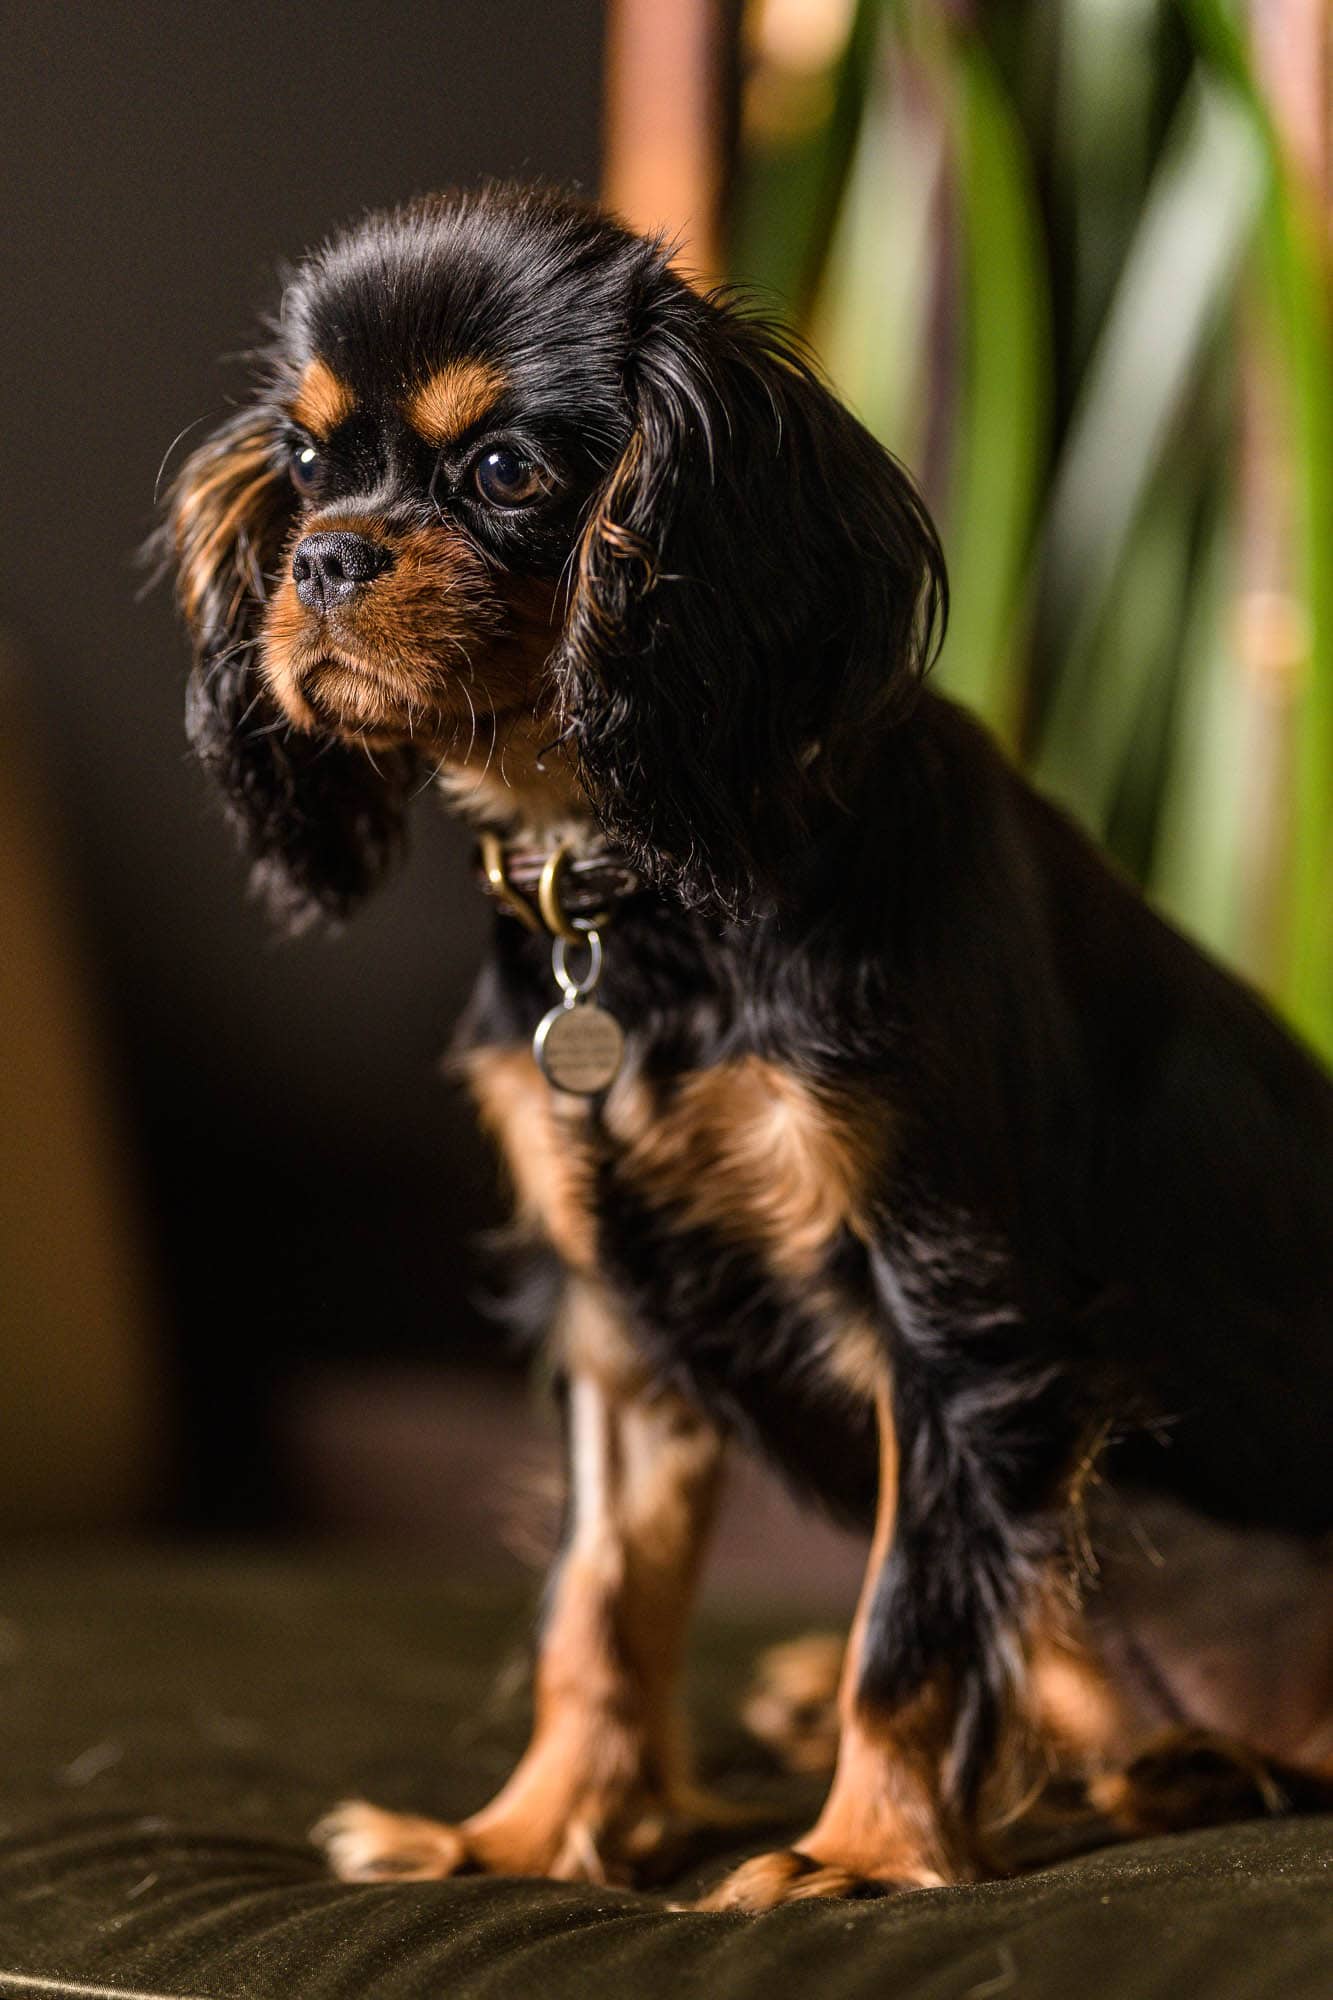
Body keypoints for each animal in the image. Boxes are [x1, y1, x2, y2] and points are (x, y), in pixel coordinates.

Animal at [166, 184, 1328, 1904]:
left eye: (505, 470)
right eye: (305, 464)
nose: (317, 556)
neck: (635, 876)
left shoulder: (955, 1311)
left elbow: (907, 1627)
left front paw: (859, 1860)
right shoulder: (613, 1316)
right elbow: (599, 1607)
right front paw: (518, 1838)